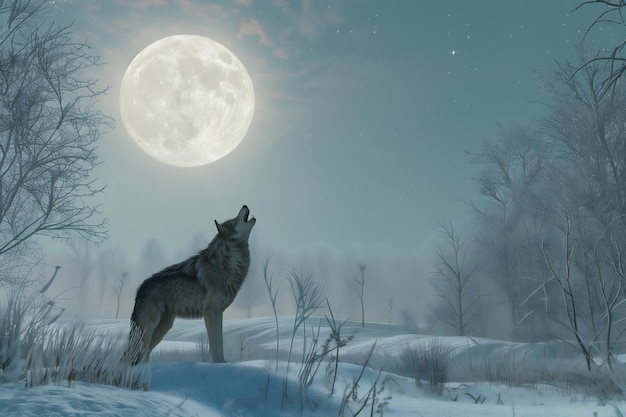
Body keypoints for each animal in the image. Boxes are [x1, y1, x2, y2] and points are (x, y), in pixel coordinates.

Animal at [125, 206, 255, 364]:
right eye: (234, 219)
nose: (245, 205)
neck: (226, 263)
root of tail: (139, 289)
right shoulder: (209, 312)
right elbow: (214, 343)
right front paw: (217, 363)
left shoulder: (219, 312)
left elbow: (220, 342)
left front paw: (223, 363)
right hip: (149, 327)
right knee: (139, 355)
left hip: (164, 327)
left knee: (145, 353)